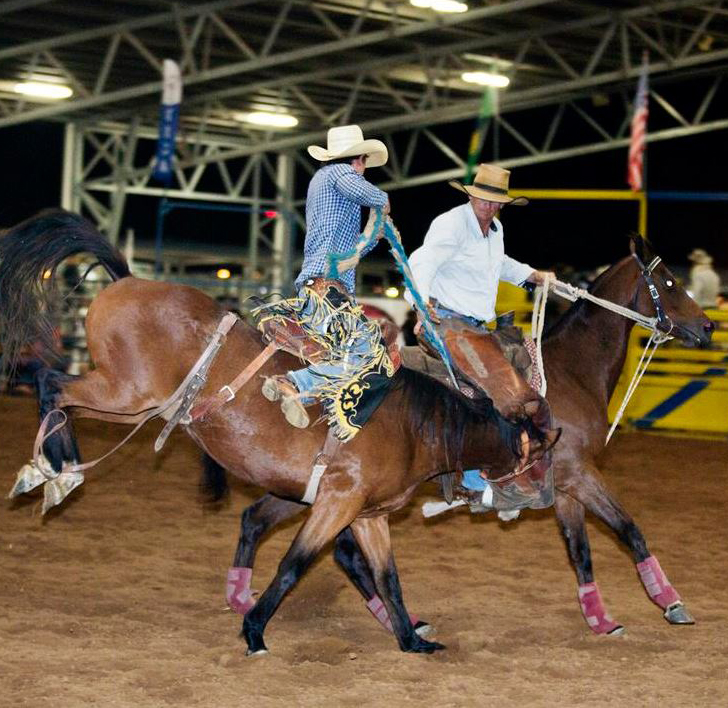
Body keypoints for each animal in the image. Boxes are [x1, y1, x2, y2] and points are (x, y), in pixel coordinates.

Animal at [0, 207, 540, 656]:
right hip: (125, 392)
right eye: (538, 449)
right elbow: (294, 565)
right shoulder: (337, 502)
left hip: (138, 408)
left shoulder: (367, 515)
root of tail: (130, 279)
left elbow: (388, 578)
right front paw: (255, 632)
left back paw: (58, 470)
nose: (536, 497)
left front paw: (412, 640)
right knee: (52, 384)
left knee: (58, 392)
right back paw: (57, 468)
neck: (413, 424)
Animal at [215, 234, 712, 636]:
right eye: (669, 282)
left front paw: (600, 618)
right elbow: (629, 530)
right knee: (322, 544)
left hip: (307, 484)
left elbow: (581, 550)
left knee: (261, 520)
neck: (571, 373)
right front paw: (671, 603)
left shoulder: (568, 487)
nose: (708, 326)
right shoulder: (579, 475)